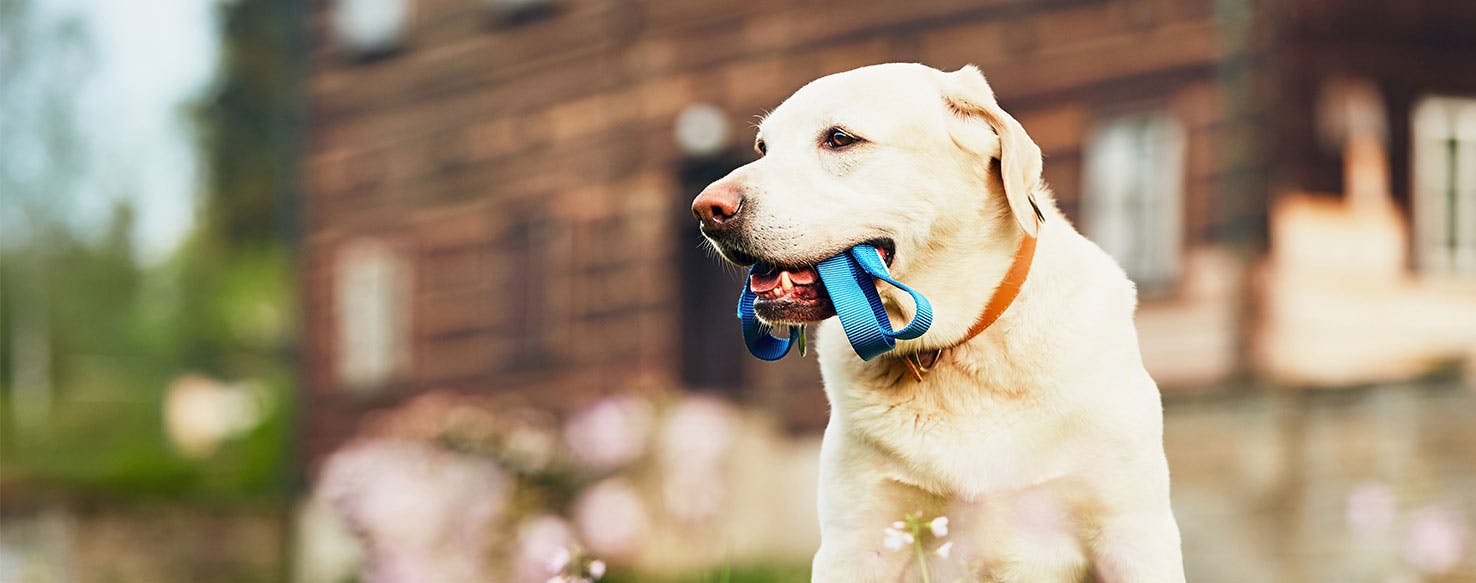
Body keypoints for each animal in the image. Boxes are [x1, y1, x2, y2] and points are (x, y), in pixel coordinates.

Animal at [690, 61, 1186, 581]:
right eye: (763, 148)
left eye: (840, 138)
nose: (706, 210)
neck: (951, 348)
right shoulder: (855, 544)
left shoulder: (1132, 534)